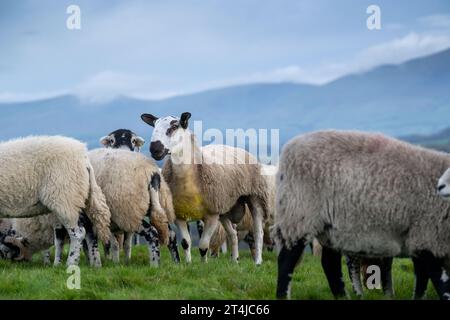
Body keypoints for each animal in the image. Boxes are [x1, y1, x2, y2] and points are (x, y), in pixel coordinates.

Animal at [0, 136, 110, 266]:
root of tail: (84, 159)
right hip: (79, 198)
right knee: (88, 232)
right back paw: (95, 264)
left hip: (66, 198)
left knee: (78, 233)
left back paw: (71, 263)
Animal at [141, 112, 270, 264]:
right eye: (154, 126)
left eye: (174, 126)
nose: (154, 149)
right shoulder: (179, 214)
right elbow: (186, 242)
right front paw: (188, 264)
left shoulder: (212, 215)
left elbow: (203, 245)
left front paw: (203, 264)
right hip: (224, 208)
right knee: (233, 233)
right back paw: (235, 260)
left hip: (255, 196)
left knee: (258, 232)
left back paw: (258, 261)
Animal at [274, 130, 450, 300]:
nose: (440, 187)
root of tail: (289, 147)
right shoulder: (427, 237)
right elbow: (439, 279)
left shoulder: (420, 240)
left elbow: (422, 278)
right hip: (299, 215)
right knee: (286, 260)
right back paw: (283, 296)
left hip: (329, 228)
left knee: (330, 263)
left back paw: (342, 297)